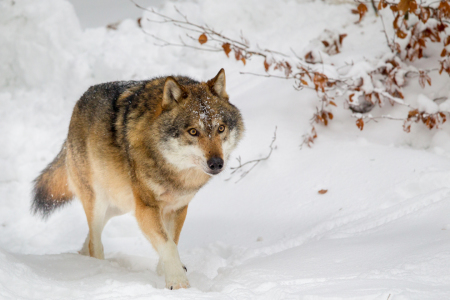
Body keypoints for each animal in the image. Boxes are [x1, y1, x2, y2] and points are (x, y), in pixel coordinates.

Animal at [31, 69, 244, 290]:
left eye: (221, 128)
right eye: (193, 131)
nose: (216, 163)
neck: (173, 171)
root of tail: (78, 103)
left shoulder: (177, 208)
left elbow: (172, 241)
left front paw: (164, 272)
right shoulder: (147, 208)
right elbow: (168, 245)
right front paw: (178, 282)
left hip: (119, 205)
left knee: (89, 239)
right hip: (99, 202)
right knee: (94, 241)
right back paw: (99, 269)